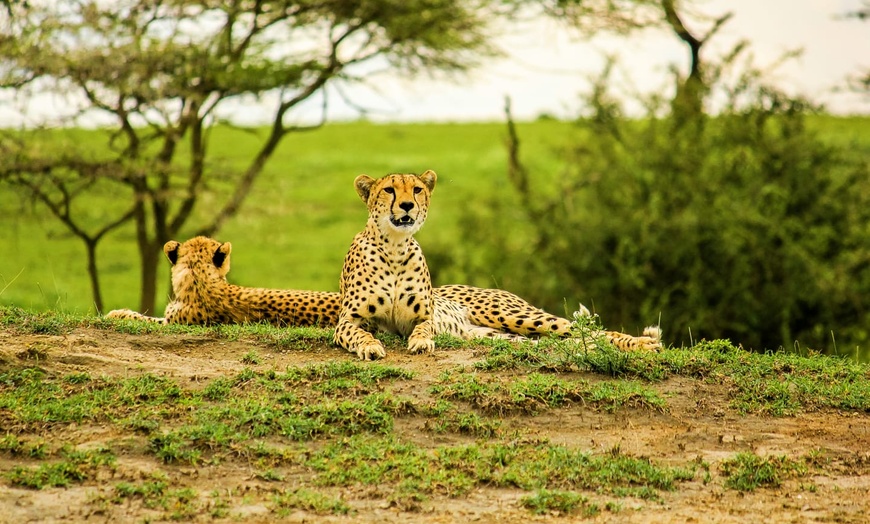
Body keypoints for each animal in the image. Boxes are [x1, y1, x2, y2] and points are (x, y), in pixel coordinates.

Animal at [334, 171, 660, 360]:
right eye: (389, 190)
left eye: (416, 190)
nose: (406, 206)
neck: (394, 246)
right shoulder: (347, 321)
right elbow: (358, 333)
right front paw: (369, 346)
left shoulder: (423, 317)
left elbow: (424, 329)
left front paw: (421, 343)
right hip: (505, 334)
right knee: (573, 340)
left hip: (513, 315)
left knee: (590, 331)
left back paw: (643, 344)